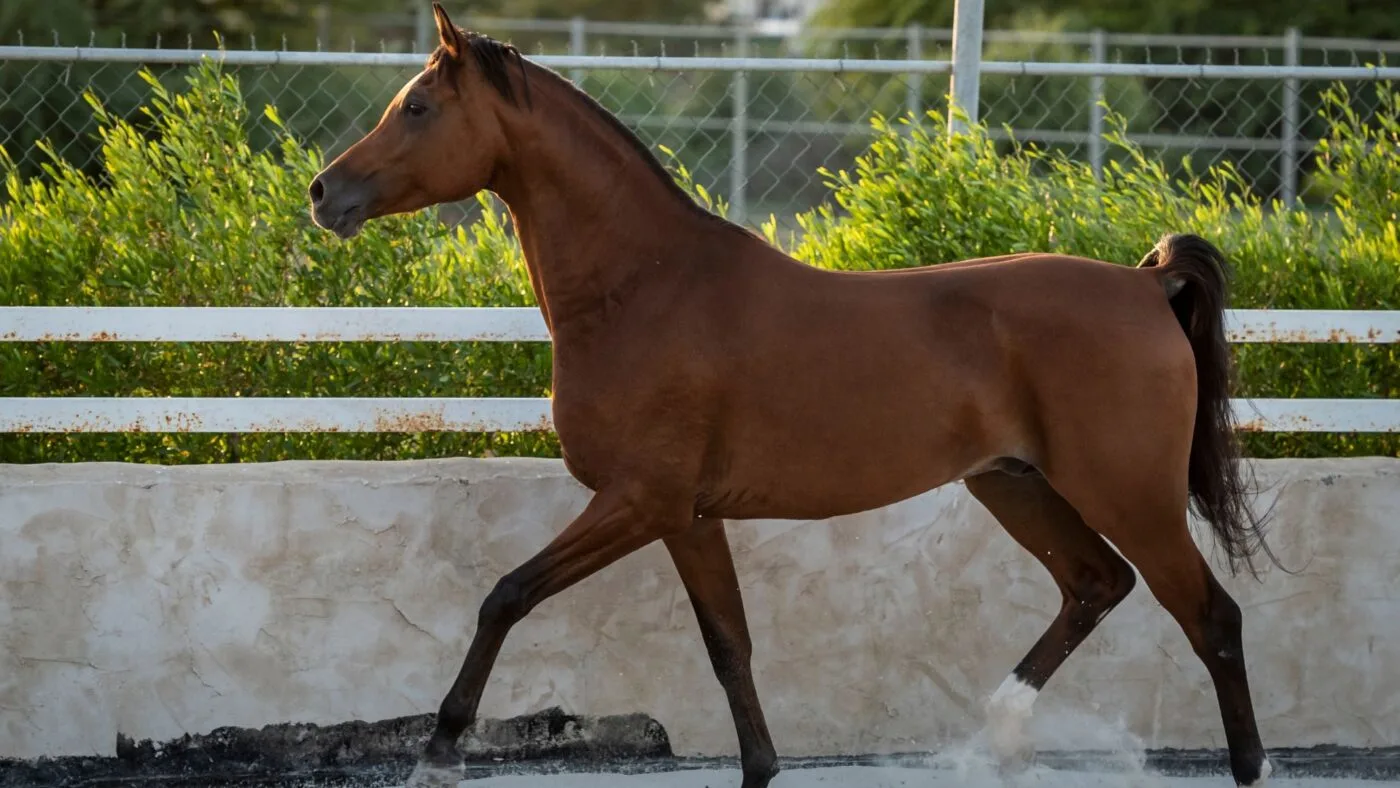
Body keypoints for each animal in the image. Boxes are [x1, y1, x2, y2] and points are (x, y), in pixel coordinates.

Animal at [308, 5, 1277, 786]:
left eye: (417, 107)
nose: (324, 193)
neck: (645, 288)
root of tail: (1144, 283)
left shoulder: (639, 500)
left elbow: (507, 595)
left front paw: (439, 751)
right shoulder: (687, 516)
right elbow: (729, 647)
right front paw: (761, 769)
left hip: (1129, 495)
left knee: (1212, 617)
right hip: (1013, 484)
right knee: (1094, 585)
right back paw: (992, 736)